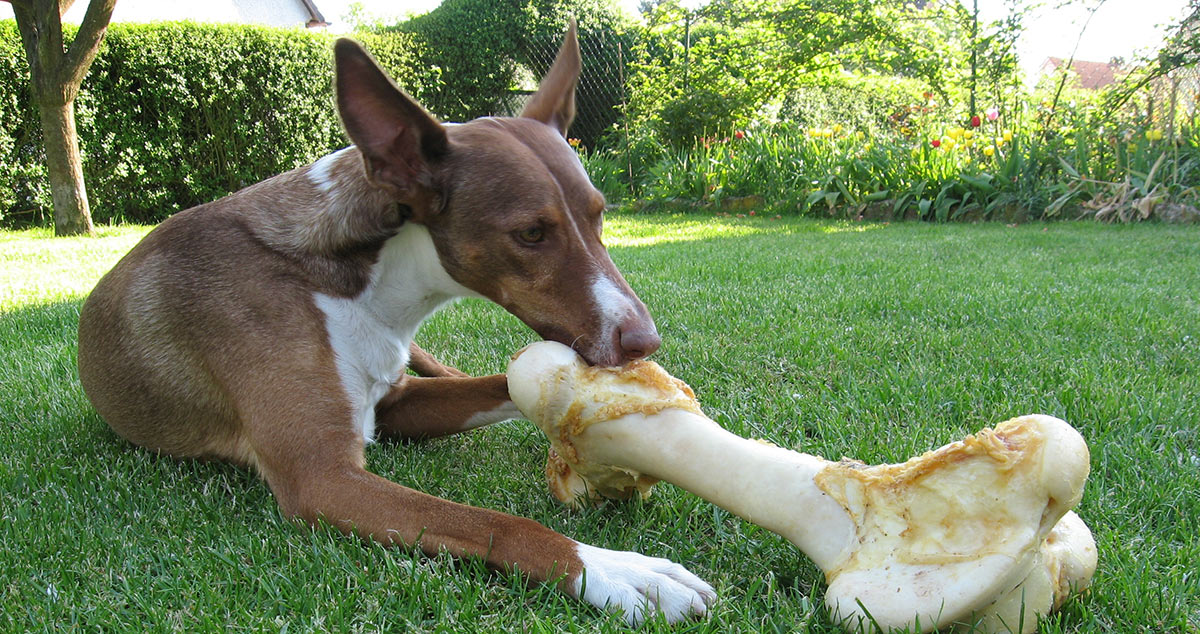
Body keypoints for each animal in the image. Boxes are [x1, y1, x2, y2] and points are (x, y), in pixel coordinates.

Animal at [77, 23, 710, 624]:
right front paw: (617, 572)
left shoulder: (397, 402)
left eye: (599, 215)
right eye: (531, 233)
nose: (643, 341)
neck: (364, 286)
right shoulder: (321, 476)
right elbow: (495, 522)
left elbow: (500, 384)